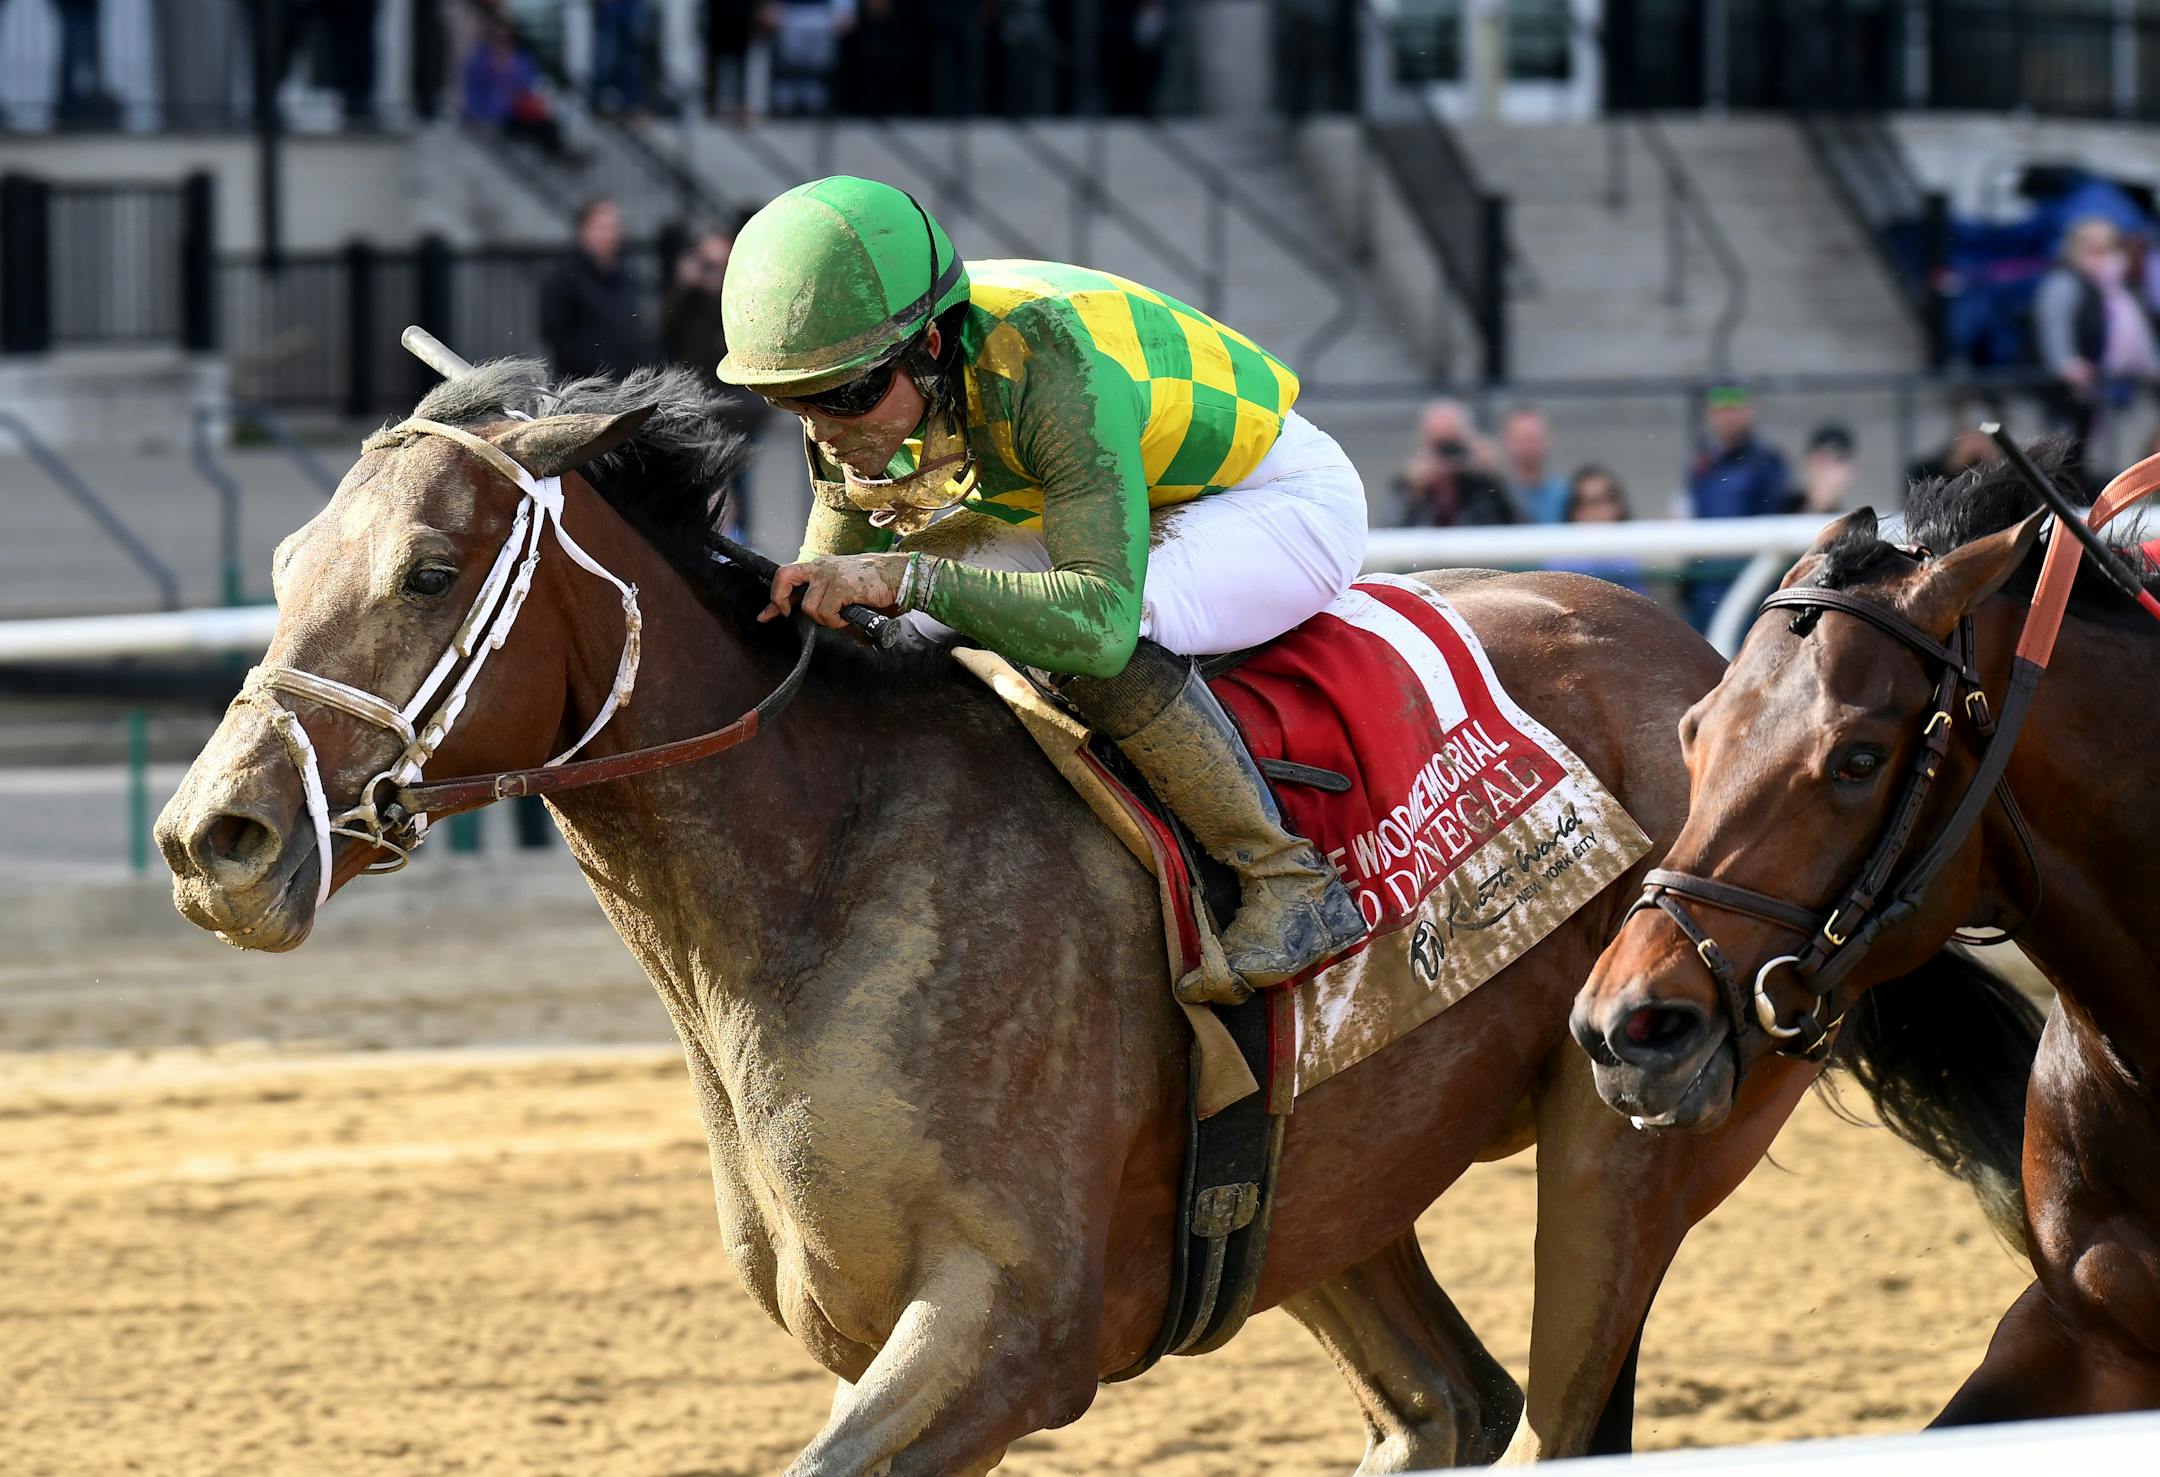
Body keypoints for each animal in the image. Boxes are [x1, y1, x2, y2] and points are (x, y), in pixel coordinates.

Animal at [154, 360, 2033, 1471]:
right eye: (286, 564)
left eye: (426, 572)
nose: (213, 837)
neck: (820, 888)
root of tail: (1718, 662)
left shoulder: (1007, 1328)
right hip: (1311, 1193)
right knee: (1452, 1402)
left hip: (1629, 1119)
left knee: (1559, 1403)